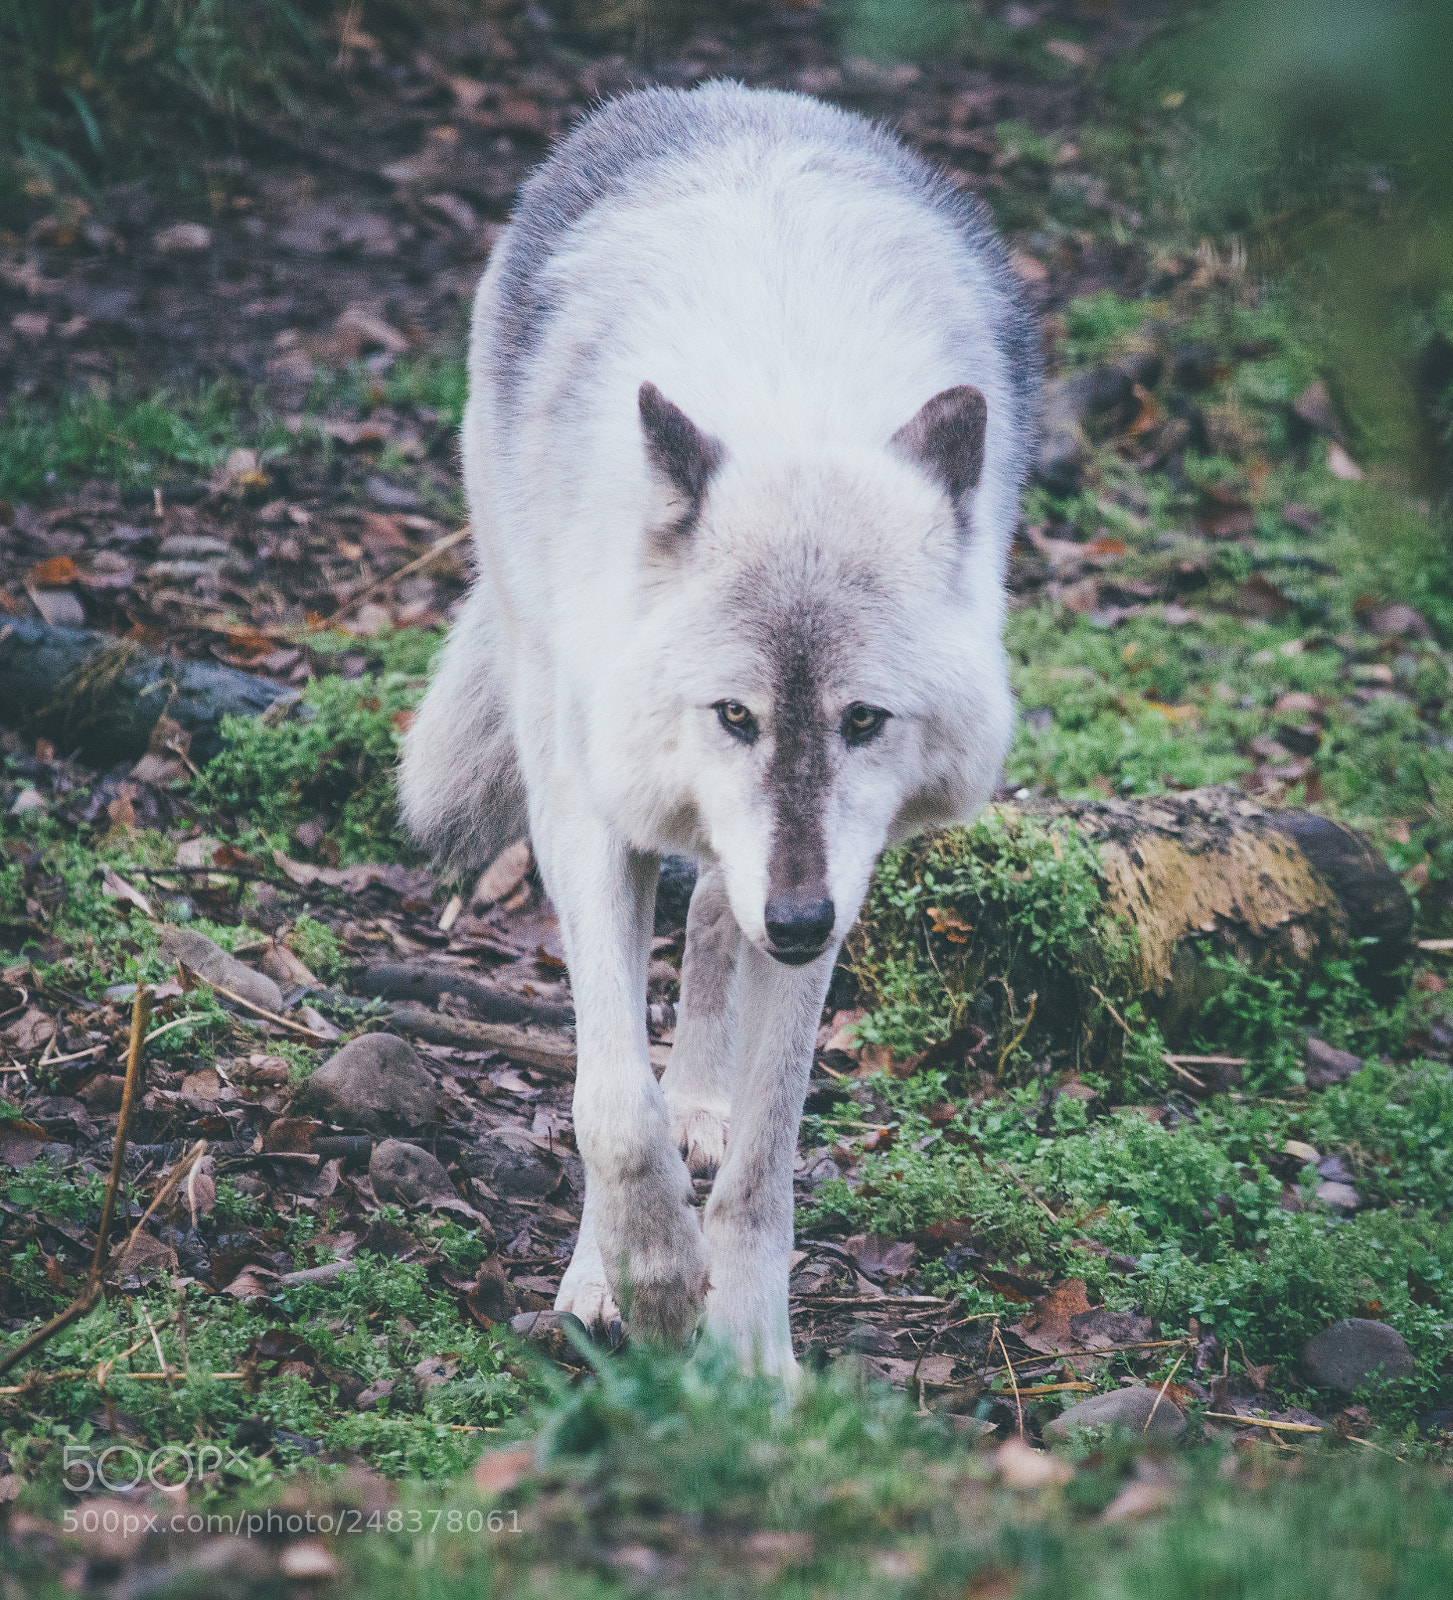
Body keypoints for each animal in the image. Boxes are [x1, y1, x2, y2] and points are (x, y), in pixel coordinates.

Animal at [399, 81, 1039, 1373]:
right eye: (734, 713)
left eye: (863, 718)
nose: (794, 920)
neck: (787, 392)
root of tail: (721, 95)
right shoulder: (587, 812)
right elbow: (610, 1104)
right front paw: (637, 1284)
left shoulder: (838, 875)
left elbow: (763, 1155)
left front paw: (747, 1352)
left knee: (707, 920)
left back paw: (702, 1090)